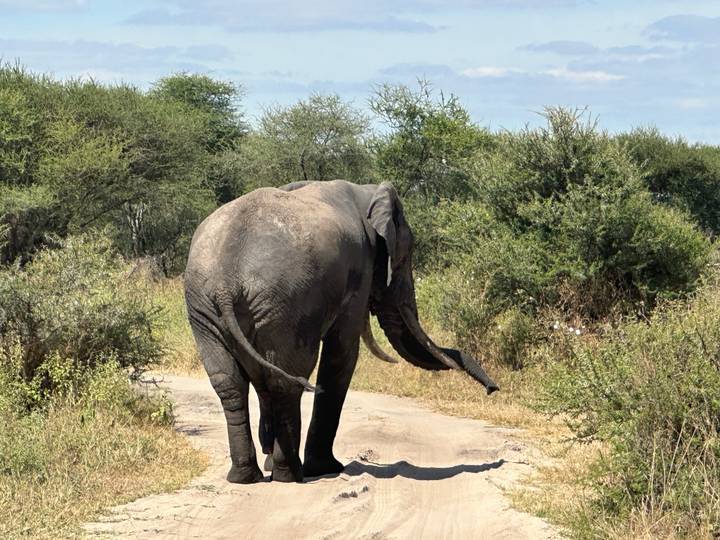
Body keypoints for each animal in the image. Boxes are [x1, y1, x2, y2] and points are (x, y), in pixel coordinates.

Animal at [184, 180, 499, 484]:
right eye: (403, 258)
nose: (492, 389)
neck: (367, 192)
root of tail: (226, 283)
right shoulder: (360, 269)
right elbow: (343, 352)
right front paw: (326, 467)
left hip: (205, 308)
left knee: (232, 383)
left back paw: (246, 477)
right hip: (283, 304)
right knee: (286, 378)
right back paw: (290, 475)